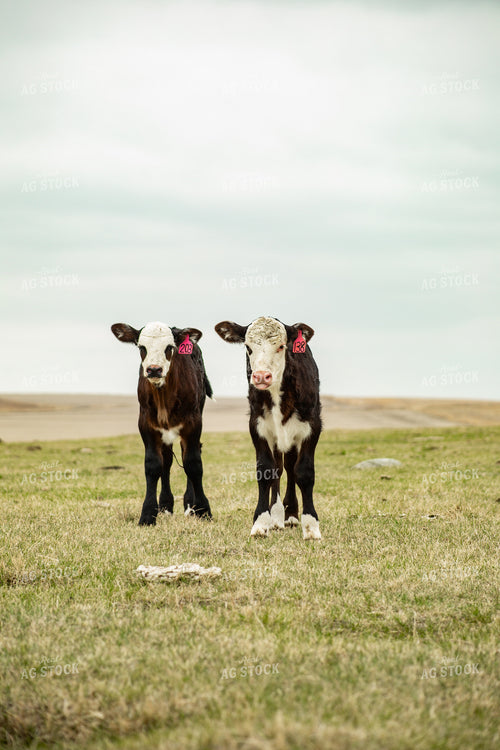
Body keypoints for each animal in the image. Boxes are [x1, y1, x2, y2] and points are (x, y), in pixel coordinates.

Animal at [111, 321, 213, 525]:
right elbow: (153, 465)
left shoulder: (193, 423)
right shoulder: (146, 424)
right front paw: (148, 514)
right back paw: (166, 505)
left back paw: (189, 504)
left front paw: (203, 509)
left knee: (187, 454)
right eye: (142, 347)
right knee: (166, 462)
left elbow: (193, 463)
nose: (154, 369)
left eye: (169, 347)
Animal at [214, 316, 322, 540]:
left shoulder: (312, 426)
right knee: (279, 469)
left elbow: (304, 471)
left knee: (290, 467)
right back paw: (278, 516)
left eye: (281, 346)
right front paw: (261, 522)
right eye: (248, 347)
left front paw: (311, 525)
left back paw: (291, 515)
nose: (262, 376)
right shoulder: (258, 427)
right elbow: (266, 471)